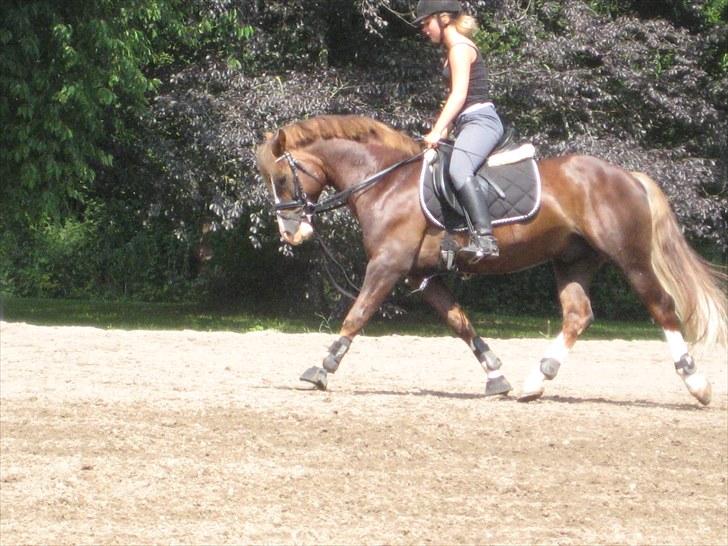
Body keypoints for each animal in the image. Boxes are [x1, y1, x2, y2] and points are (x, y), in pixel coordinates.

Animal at [255, 114, 727, 405]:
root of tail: (627, 175)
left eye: (281, 179)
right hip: (573, 261)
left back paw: (697, 383)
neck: (385, 181)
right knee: (578, 315)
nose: (291, 233)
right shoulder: (422, 275)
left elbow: (358, 314)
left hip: (630, 257)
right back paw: (537, 381)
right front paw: (496, 376)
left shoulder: (388, 266)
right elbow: (460, 322)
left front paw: (322, 368)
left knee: (663, 307)